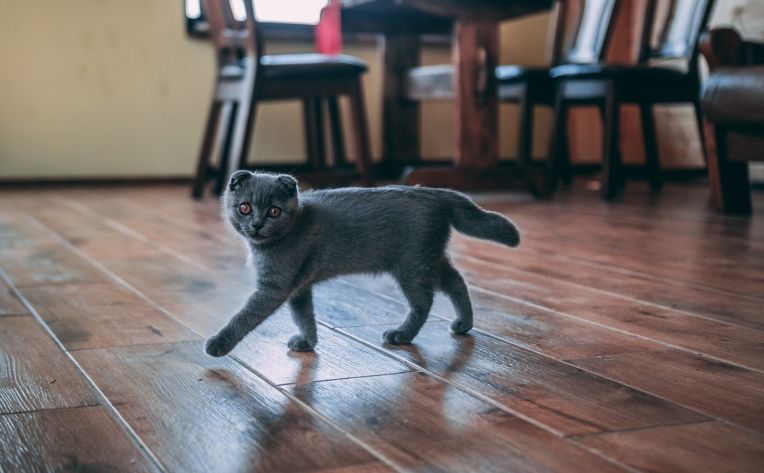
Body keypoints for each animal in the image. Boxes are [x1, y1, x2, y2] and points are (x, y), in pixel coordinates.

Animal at [206, 170, 524, 354]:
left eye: (273, 211)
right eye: (244, 208)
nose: (257, 224)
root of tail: (434, 192)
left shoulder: (275, 286)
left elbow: (245, 316)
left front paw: (218, 344)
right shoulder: (298, 286)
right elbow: (304, 315)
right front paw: (308, 342)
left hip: (411, 264)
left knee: (424, 301)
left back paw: (402, 334)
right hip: (430, 257)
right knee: (456, 281)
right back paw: (463, 323)